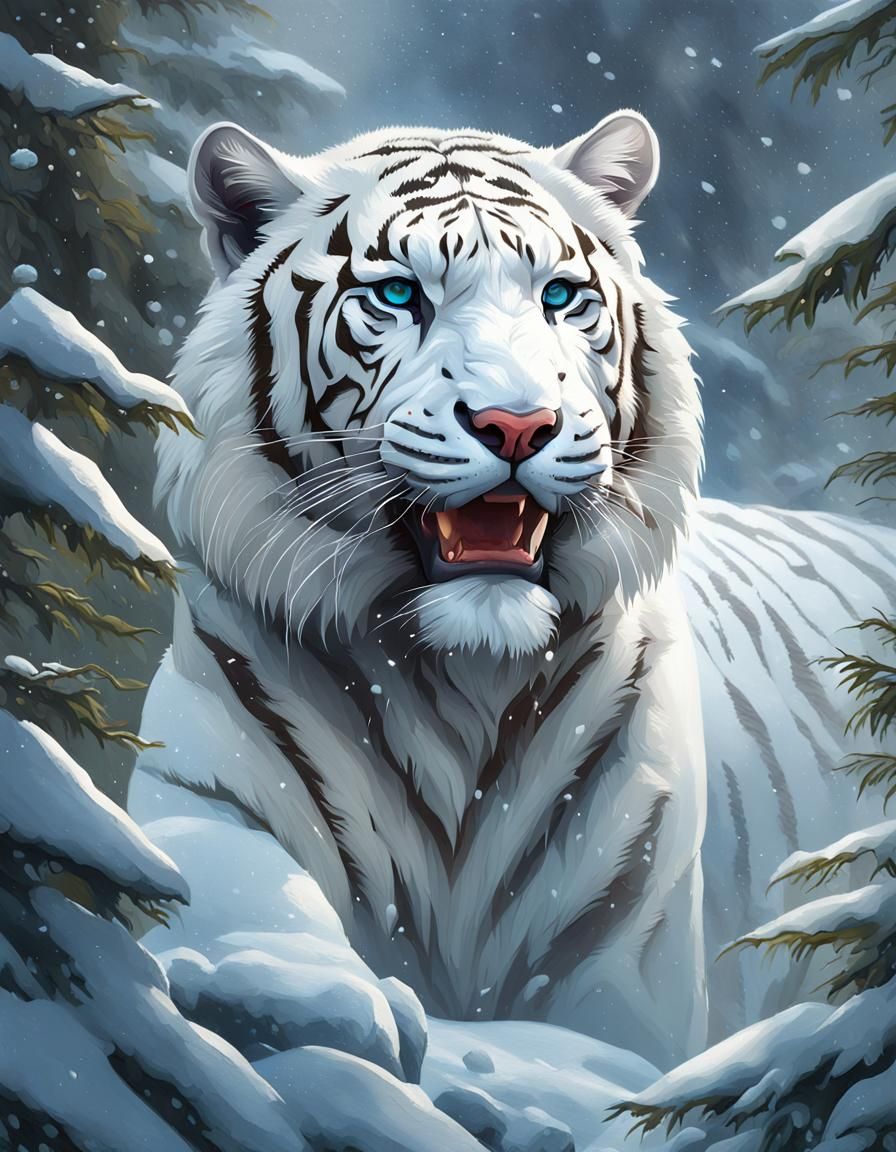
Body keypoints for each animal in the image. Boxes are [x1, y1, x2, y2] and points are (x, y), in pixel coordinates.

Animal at [128, 111, 896, 1078]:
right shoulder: (202, 802)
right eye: (397, 296)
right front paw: (303, 993)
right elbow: (239, 901)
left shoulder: (620, 953)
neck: (452, 683)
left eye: (561, 297)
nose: (518, 425)